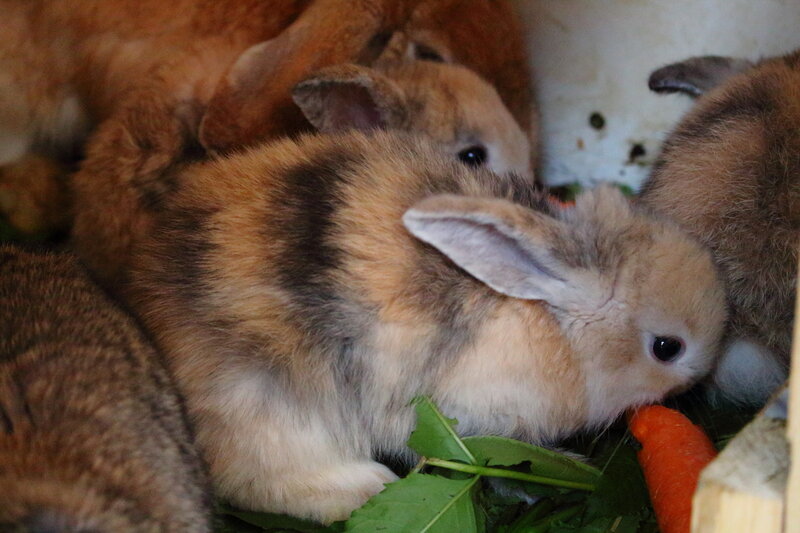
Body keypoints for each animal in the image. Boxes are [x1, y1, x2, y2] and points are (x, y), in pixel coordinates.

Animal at [125, 128, 727, 523]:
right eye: (666, 347)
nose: (703, 377)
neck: (548, 320)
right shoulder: (478, 421)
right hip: (272, 416)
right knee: (258, 481)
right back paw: (365, 488)